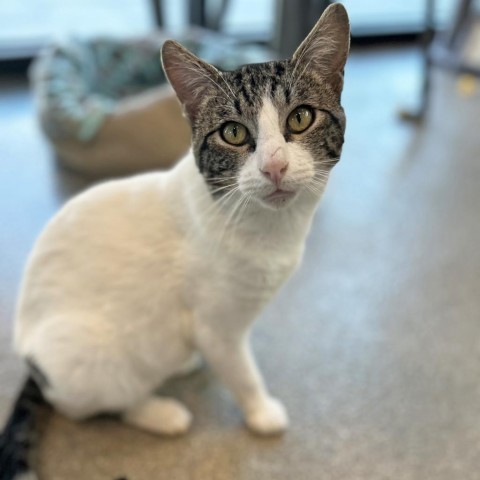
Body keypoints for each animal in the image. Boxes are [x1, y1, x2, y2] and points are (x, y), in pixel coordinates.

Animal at [0, 4, 352, 480]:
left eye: (300, 118)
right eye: (233, 133)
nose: (274, 166)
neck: (270, 228)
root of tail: (32, 363)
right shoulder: (216, 326)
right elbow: (242, 371)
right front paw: (261, 412)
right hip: (88, 352)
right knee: (91, 403)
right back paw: (159, 412)